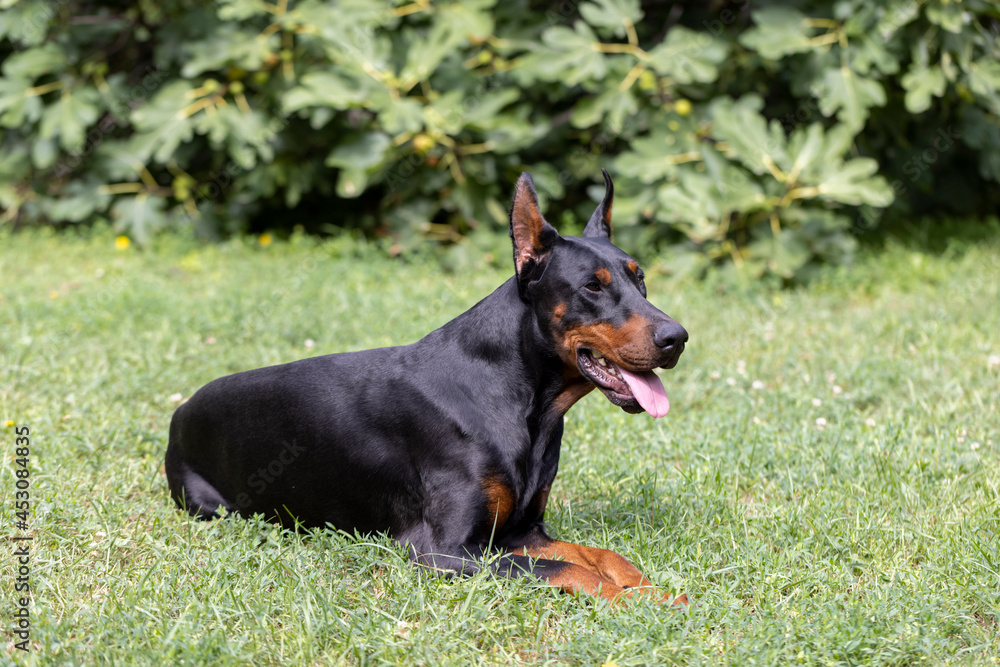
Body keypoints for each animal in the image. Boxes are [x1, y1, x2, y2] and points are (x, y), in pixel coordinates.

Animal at [170, 171, 688, 604]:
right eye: (592, 287)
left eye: (640, 278)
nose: (677, 337)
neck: (521, 401)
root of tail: (183, 408)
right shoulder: (445, 551)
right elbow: (567, 569)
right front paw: (632, 600)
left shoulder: (524, 532)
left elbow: (600, 556)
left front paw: (656, 592)